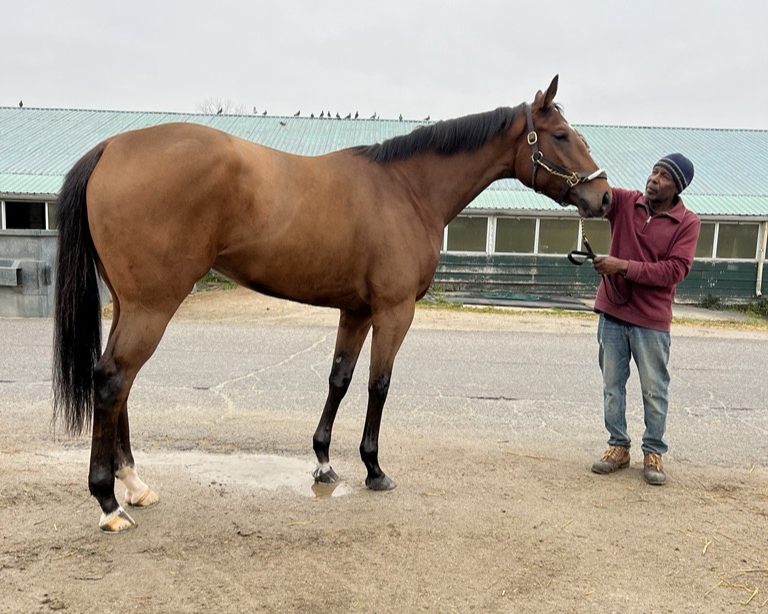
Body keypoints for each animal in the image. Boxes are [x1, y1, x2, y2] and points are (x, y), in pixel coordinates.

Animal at [52, 74, 612, 532]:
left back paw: (134, 485)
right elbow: (378, 385)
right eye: (562, 136)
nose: (604, 197)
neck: (406, 189)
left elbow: (339, 380)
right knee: (113, 380)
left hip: (130, 304)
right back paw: (109, 503)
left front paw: (323, 462)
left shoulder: (357, 311)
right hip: (152, 307)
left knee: (119, 384)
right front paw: (374, 468)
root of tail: (111, 147)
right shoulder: (394, 311)